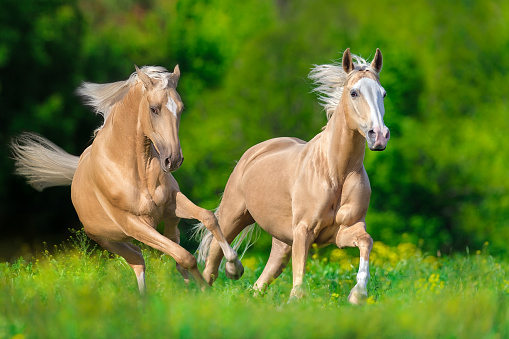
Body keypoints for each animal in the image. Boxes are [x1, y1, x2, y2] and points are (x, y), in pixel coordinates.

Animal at [11, 65, 242, 294]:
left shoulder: (172, 203)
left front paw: (233, 266)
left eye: (181, 108)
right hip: (110, 240)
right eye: (154, 109)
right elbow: (185, 256)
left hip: (168, 221)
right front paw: (205, 292)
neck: (136, 169)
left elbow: (208, 218)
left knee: (160, 253)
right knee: (140, 259)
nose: (173, 160)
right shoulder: (134, 224)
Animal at [195, 48, 388, 306]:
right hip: (233, 216)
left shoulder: (344, 231)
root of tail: (253, 153)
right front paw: (298, 299)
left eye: (383, 93)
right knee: (213, 259)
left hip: (282, 242)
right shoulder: (303, 230)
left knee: (260, 282)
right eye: (354, 92)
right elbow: (300, 276)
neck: (336, 172)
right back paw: (230, 271)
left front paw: (358, 294)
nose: (379, 136)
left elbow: (366, 242)